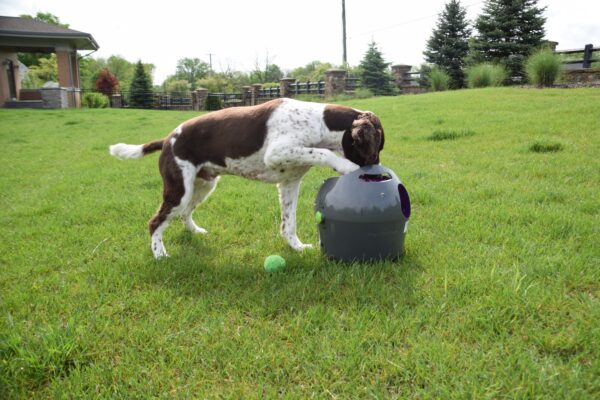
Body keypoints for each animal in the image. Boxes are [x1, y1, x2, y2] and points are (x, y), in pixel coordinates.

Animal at [110, 98, 384, 258]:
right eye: (373, 149)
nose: (376, 172)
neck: (319, 122)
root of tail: (167, 139)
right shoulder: (276, 153)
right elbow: (324, 152)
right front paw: (344, 165)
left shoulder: (289, 183)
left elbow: (289, 224)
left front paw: (297, 248)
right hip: (179, 190)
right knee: (155, 222)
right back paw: (160, 254)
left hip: (203, 185)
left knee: (185, 214)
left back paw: (195, 231)